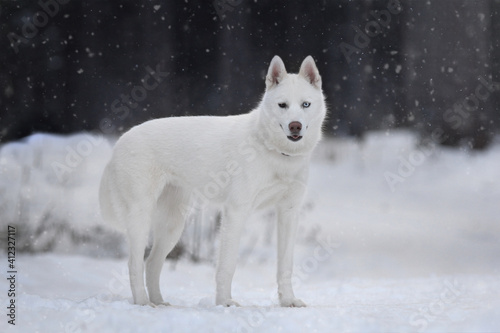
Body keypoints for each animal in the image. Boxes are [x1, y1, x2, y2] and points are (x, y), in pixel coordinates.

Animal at [99, 55, 326, 306]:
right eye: (282, 105)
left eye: (305, 105)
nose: (295, 126)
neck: (276, 153)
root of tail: (119, 143)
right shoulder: (236, 212)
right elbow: (227, 265)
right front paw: (225, 302)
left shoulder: (288, 212)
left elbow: (285, 266)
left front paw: (288, 301)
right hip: (141, 218)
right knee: (134, 265)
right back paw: (142, 302)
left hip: (172, 226)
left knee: (151, 263)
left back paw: (159, 303)